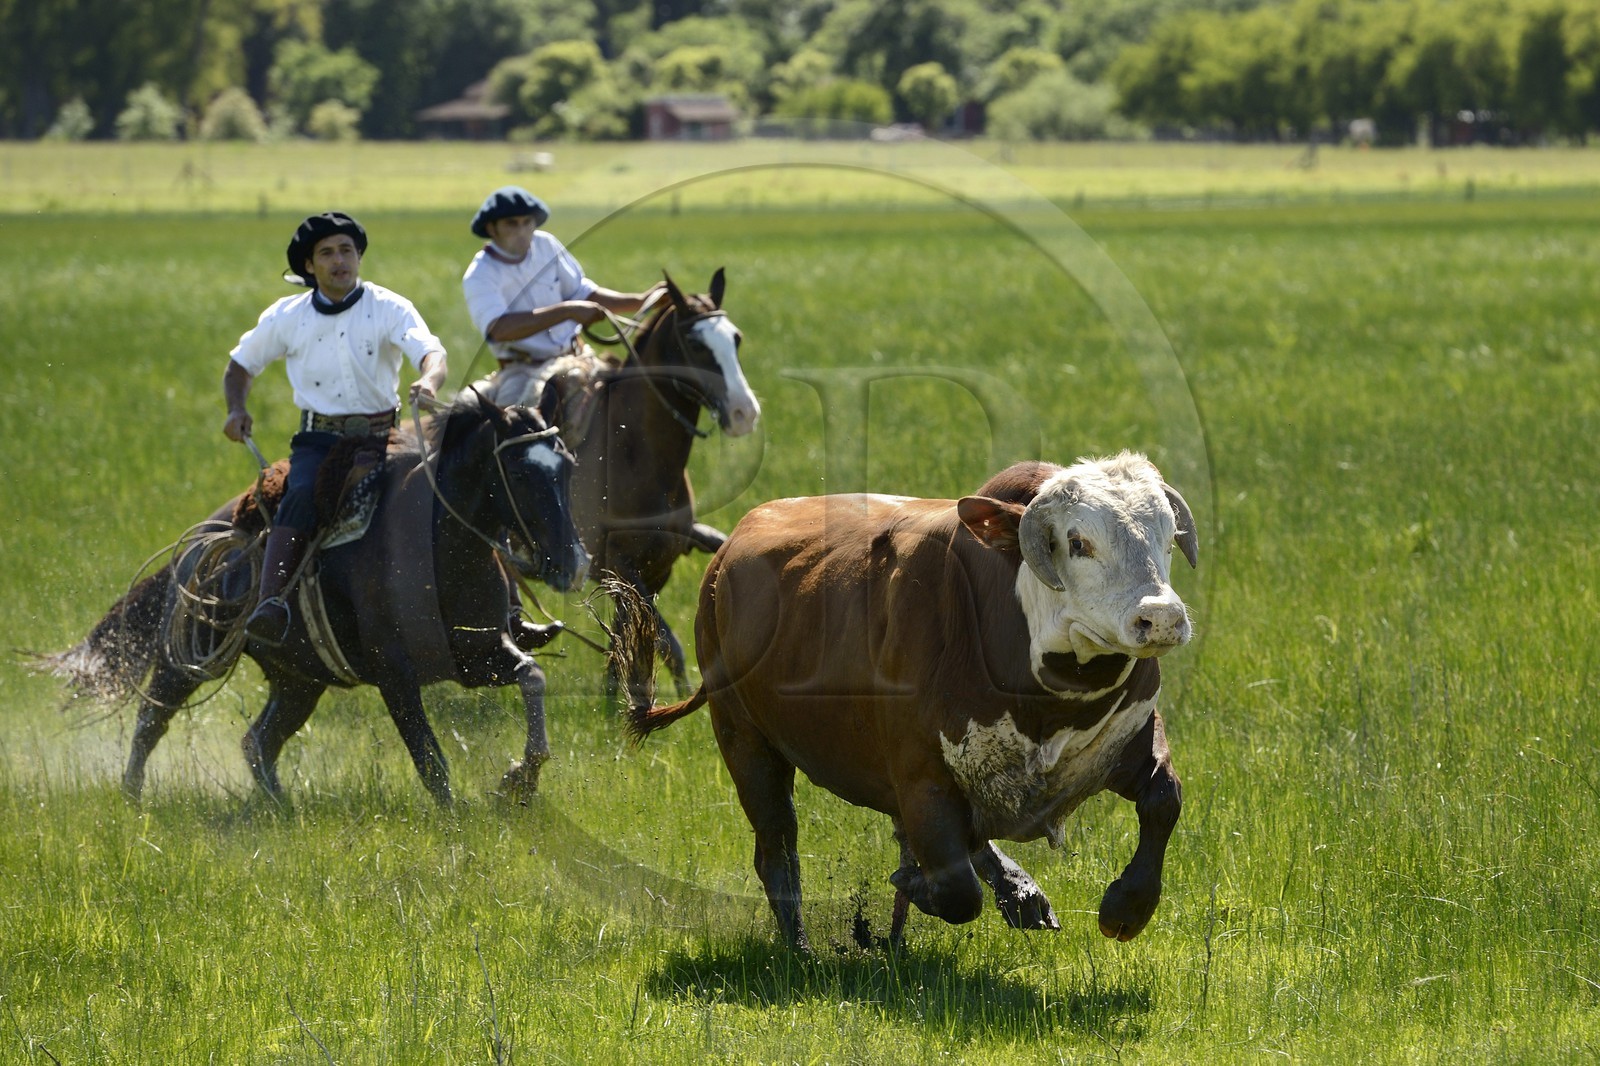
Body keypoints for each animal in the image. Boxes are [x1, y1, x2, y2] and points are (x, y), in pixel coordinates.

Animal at [628, 452, 1199, 951]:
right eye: (1078, 541)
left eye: (1167, 538)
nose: (1162, 618)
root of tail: (727, 555)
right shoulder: (921, 780)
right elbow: (955, 890)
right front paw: (914, 884)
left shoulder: (1131, 734)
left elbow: (1163, 799)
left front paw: (1127, 907)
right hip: (743, 738)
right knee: (777, 849)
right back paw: (800, 950)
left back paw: (1018, 892)